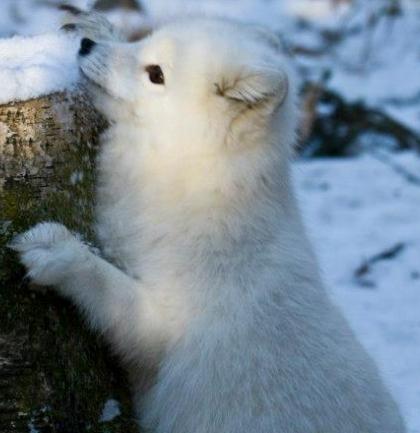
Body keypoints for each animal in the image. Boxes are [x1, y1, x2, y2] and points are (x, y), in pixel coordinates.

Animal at [13, 13, 406, 432]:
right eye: (143, 42)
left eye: (156, 74)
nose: (86, 47)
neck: (197, 186)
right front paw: (95, 26)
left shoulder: (163, 329)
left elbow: (110, 288)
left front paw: (57, 251)